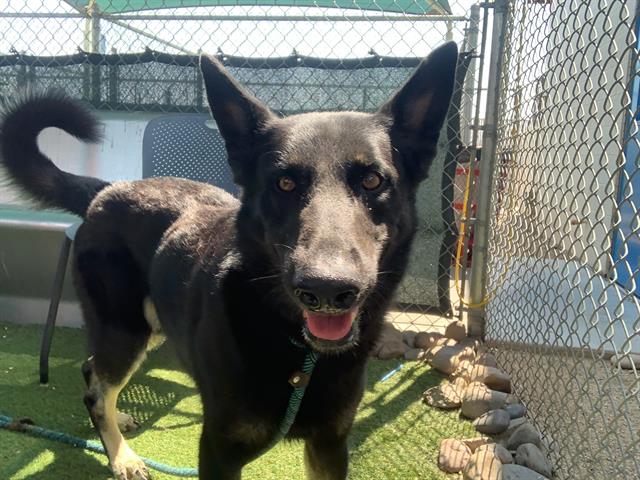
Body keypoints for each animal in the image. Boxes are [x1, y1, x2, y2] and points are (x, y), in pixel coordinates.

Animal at [1, 42, 460, 480]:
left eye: (372, 180)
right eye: (284, 183)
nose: (328, 290)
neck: (297, 350)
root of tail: (106, 190)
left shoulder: (329, 446)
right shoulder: (219, 450)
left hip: (151, 326)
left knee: (91, 370)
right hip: (125, 330)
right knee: (97, 388)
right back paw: (121, 457)